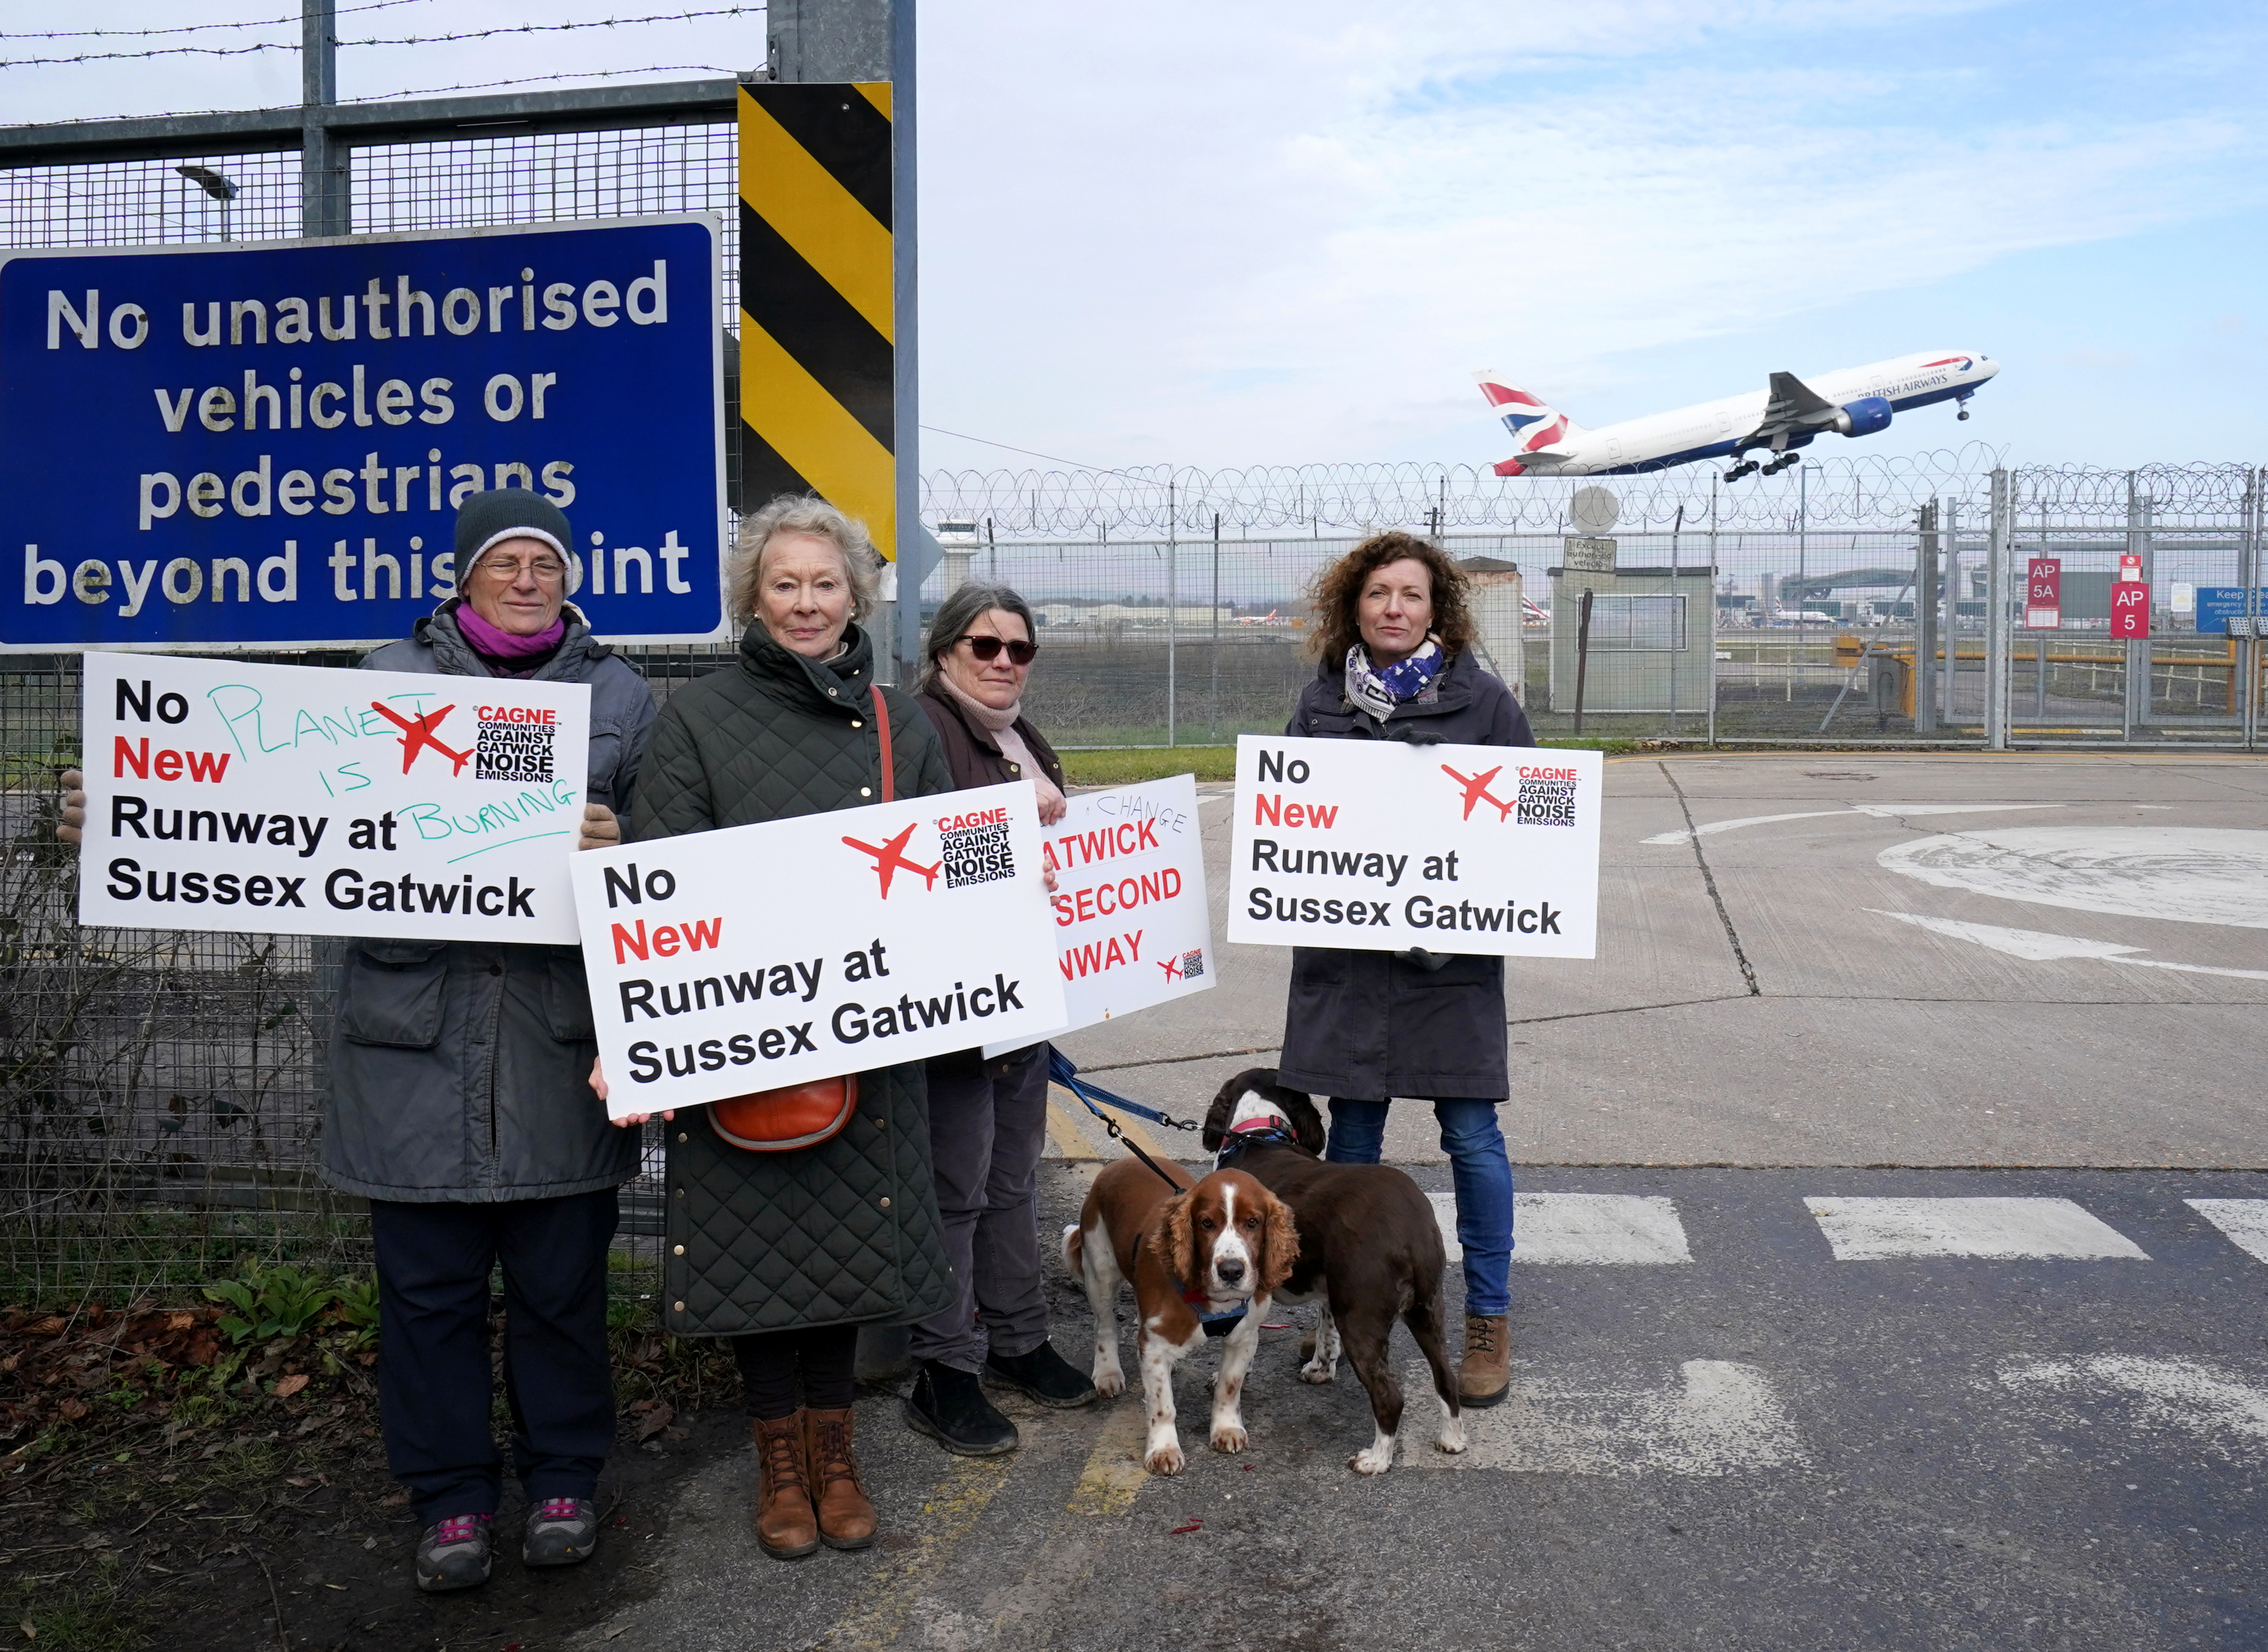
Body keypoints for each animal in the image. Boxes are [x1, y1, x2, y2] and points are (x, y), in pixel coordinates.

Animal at [1206, 1071, 1469, 1470]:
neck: (1258, 1132)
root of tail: (1411, 1227)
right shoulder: (1329, 1288)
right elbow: (1324, 1328)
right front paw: (1320, 1368)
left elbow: (1237, 1346)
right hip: (1426, 1309)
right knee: (1446, 1378)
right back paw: (1452, 1439)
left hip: (1361, 1316)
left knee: (1389, 1396)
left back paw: (1376, 1459)